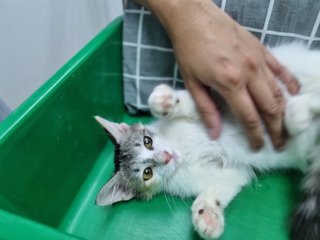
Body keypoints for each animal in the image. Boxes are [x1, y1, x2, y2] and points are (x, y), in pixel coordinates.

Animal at [95, 43, 320, 240]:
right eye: (147, 173)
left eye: (147, 141)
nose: (167, 157)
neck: (184, 151)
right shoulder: (234, 171)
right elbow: (221, 186)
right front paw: (207, 215)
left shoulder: (222, 102)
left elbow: (197, 103)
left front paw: (165, 101)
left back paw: (298, 111)